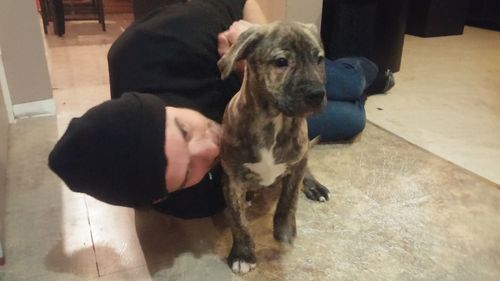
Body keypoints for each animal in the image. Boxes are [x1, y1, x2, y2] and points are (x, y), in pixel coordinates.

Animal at [219, 22, 328, 274]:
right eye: (281, 62)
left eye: (319, 59)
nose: (318, 94)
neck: (274, 121)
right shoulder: (232, 177)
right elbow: (237, 220)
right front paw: (243, 254)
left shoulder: (296, 165)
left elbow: (288, 201)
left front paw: (284, 229)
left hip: (304, 155)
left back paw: (314, 186)